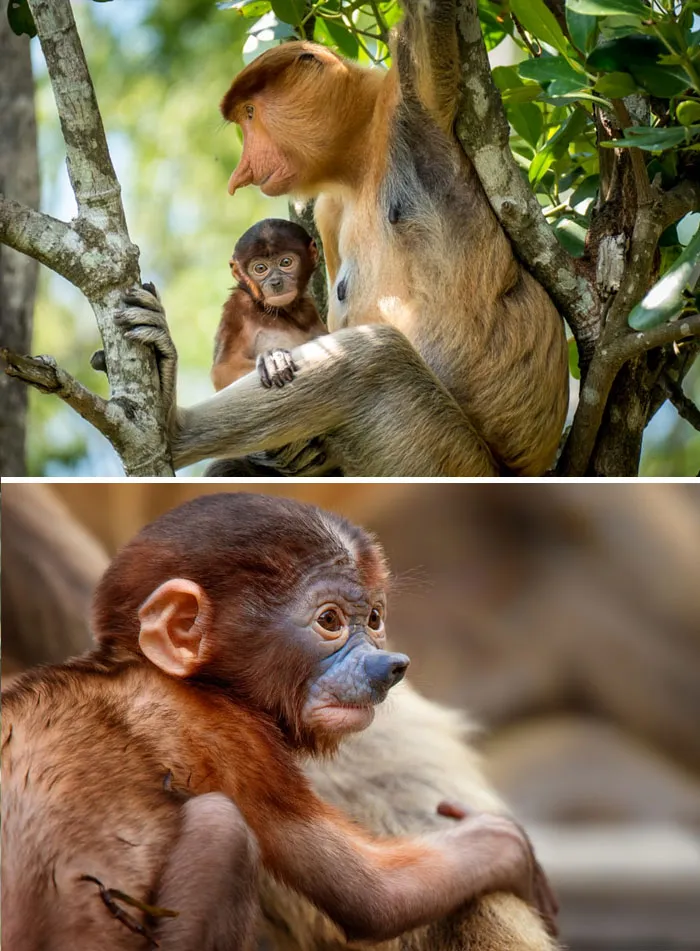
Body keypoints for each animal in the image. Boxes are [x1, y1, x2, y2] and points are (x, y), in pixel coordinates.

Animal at [1, 493, 557, 951]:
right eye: (330, 621)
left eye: (375, 619)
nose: (391, 665)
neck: (146, 668)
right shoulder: (240, 741)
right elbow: (371, 897)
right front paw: (509, 849)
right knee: (224, 829)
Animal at [206, 219, 339, 477]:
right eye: (260, 268)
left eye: (285, 262)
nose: (275, 282)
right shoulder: (237, 308)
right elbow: (223, 369)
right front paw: (272, 360)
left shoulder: (309, 308)